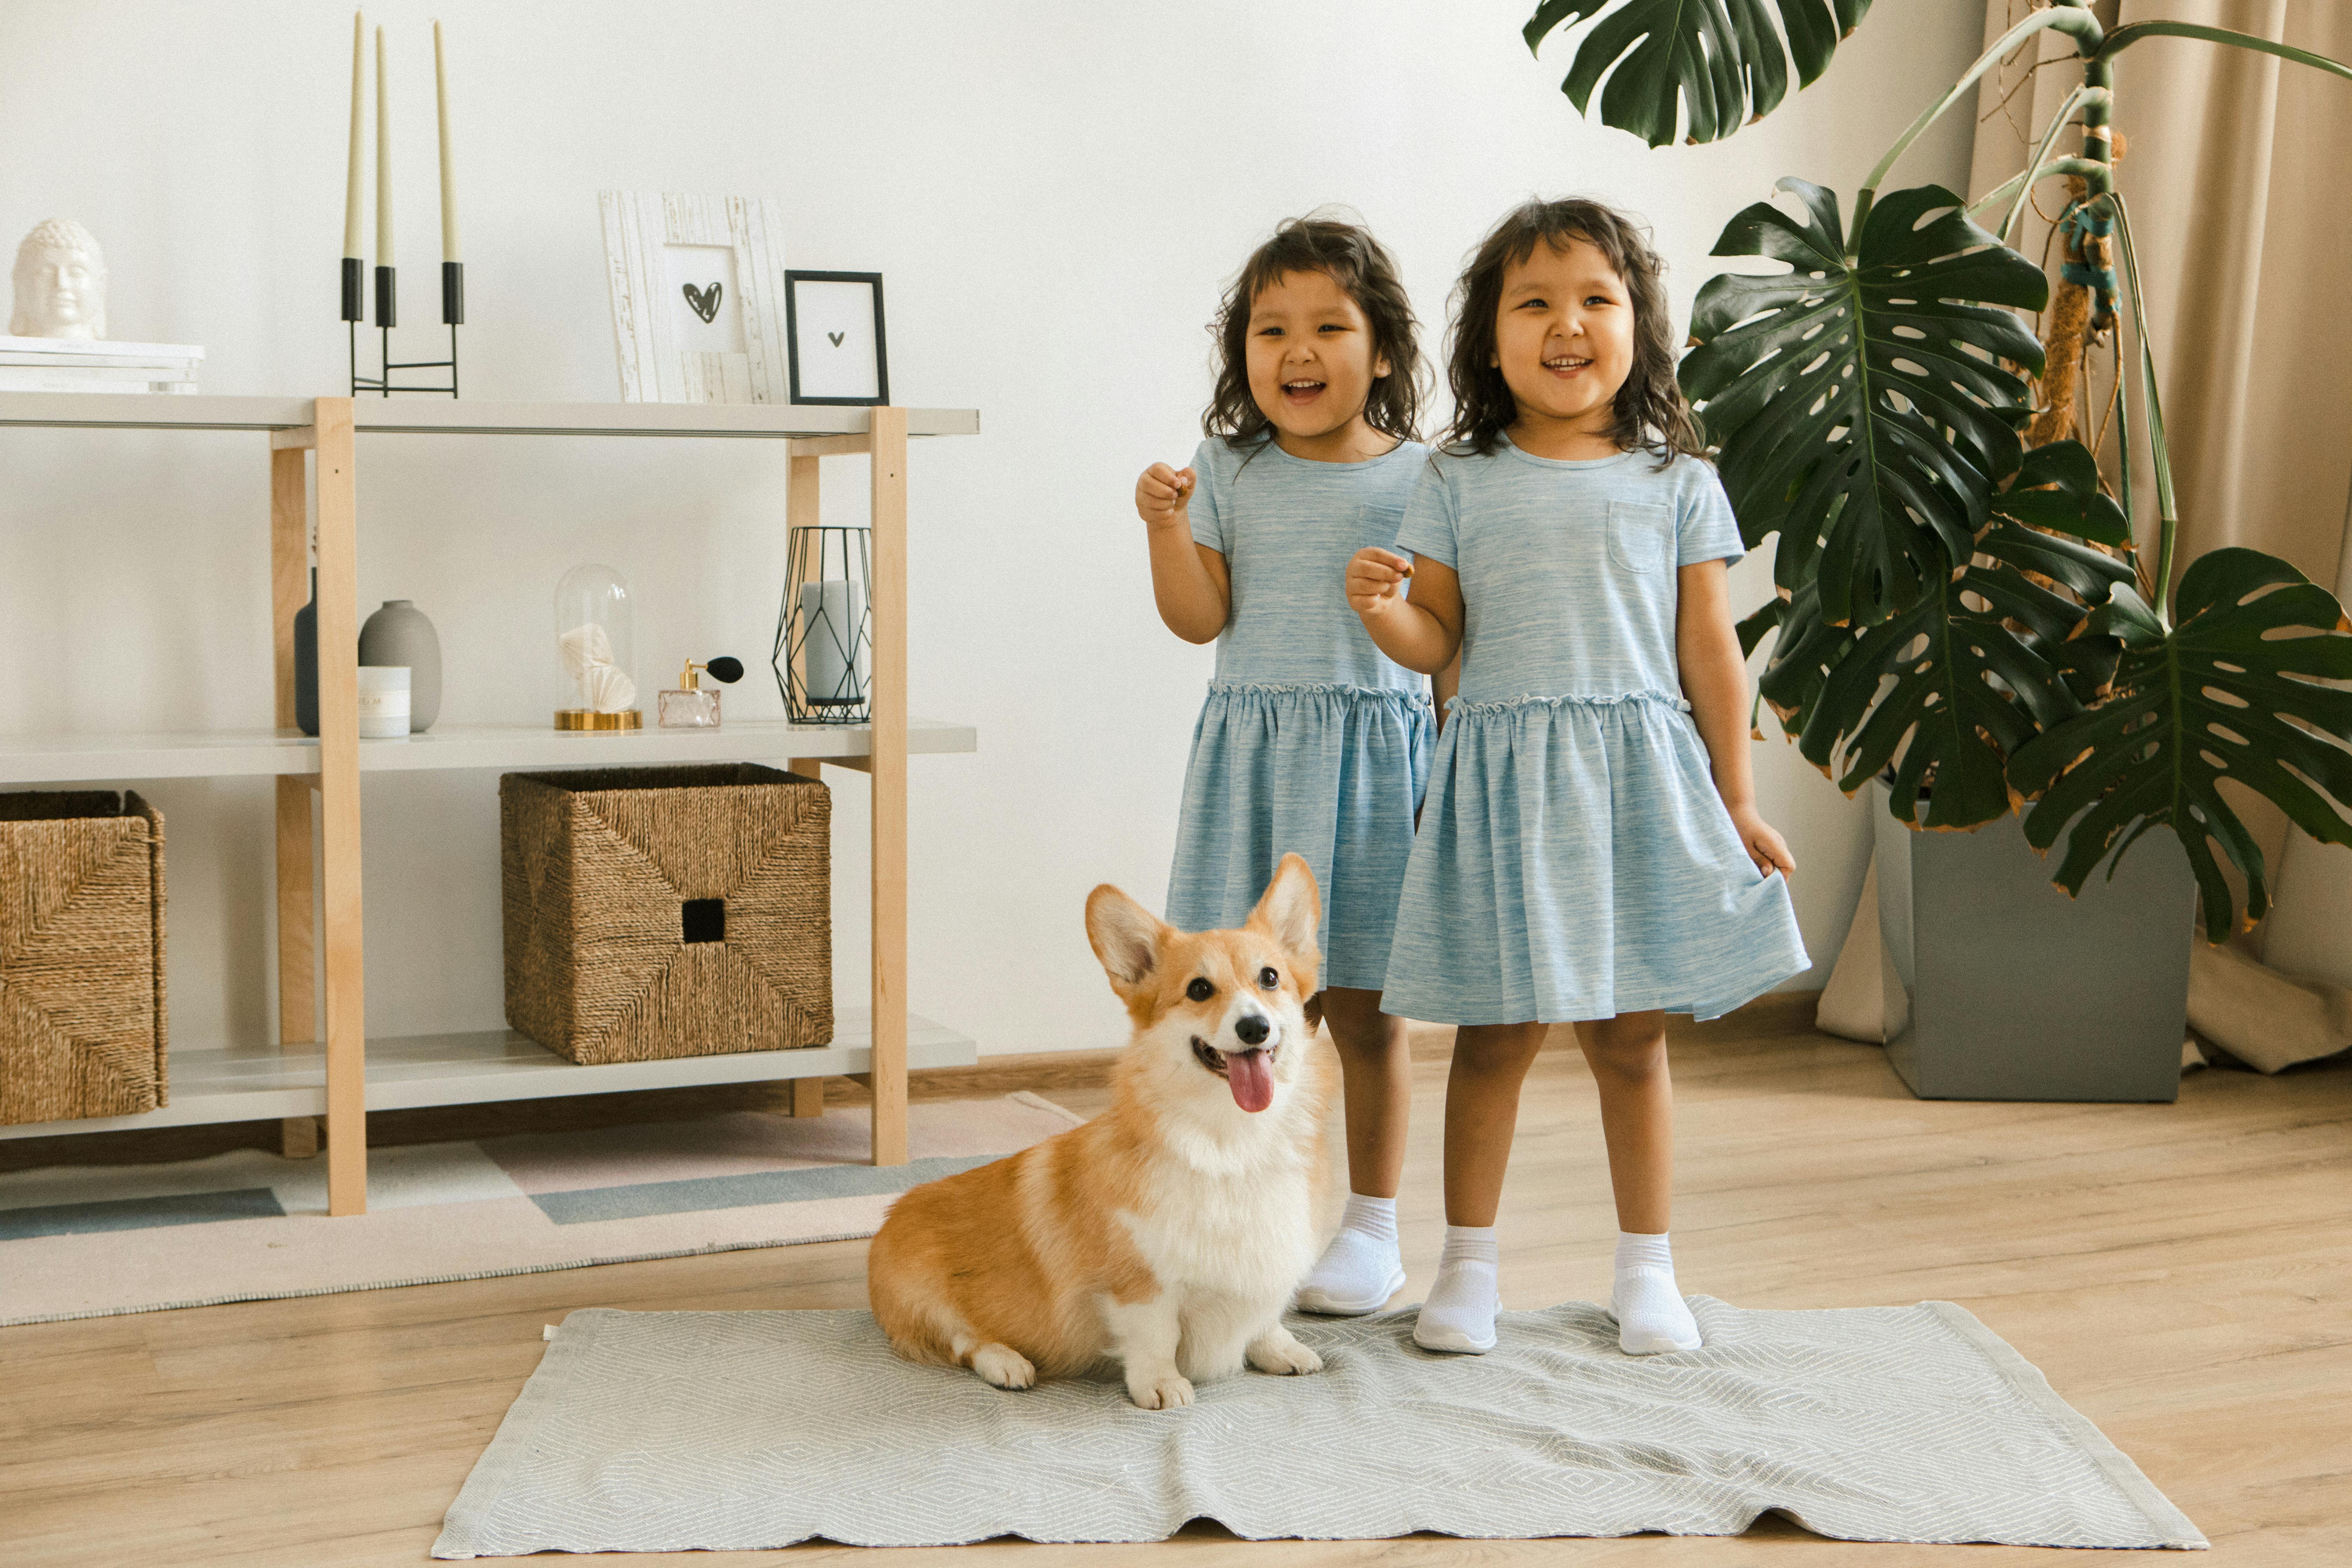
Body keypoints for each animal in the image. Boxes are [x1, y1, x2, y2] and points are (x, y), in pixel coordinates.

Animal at [870, 851, 1345, 1420]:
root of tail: (890, 1215)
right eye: (1199, 989)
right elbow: (1155, 1336)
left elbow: (1265, 1318)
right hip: (924, 1299)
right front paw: (1160, 1385)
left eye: (1270, 978)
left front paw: (1279, 1349)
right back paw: (1008, 1363)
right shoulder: (1138, 1285)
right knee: (964, 1341)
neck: (1231, 1140)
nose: (1254, 1027)